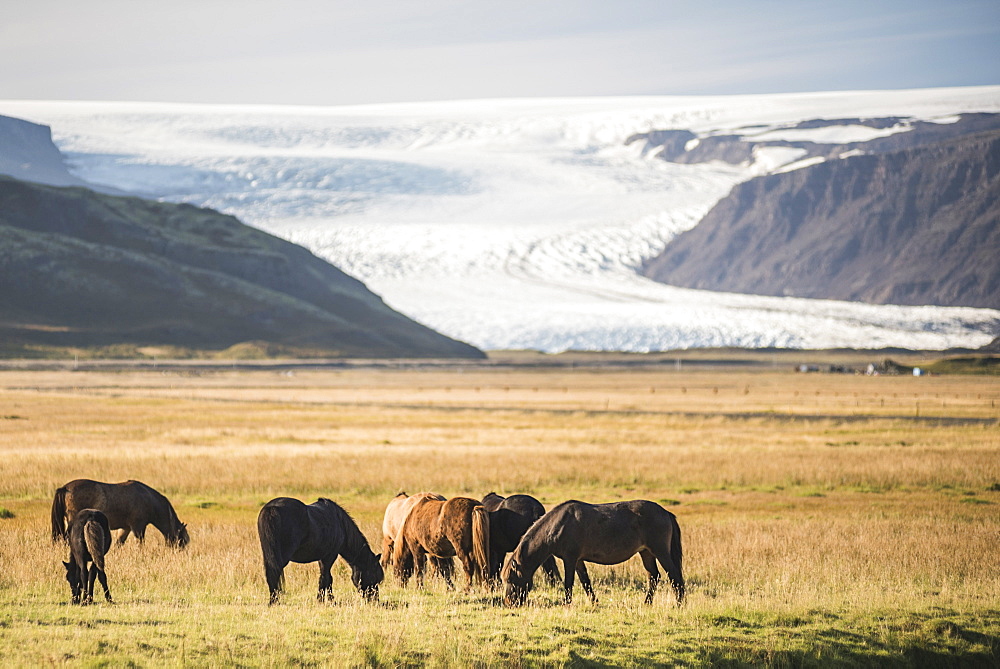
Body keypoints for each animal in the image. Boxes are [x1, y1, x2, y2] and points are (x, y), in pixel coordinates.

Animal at [51, 474, 189, 548]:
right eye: (182, 540)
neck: (148, 499)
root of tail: (65, 488)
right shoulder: (138, 528)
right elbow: (140, 544)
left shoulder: (125, 528)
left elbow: (119, 544)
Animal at [256, 496, 384, 604]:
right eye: (373, 576)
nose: (375, 600)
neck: (340, 522)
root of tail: (271, 508)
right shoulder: (330, 556)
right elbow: (326, 578)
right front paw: (324, 600)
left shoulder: (322, 557)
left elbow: (326, 578)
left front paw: (328, 599)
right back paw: (275, 601)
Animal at [504, 500, 684, 604]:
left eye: (511, 579)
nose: (508, 602)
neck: (558, 525)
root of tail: (665, 513)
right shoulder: (578, 560)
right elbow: (585, 582)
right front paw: (594, 602)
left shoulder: (570, 559)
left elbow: (569, 583)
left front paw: (567, 603)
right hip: (646, 552)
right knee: (654, 576)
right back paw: (647, 603)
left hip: (660, 551)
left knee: (674, 575)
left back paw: (679, 604)